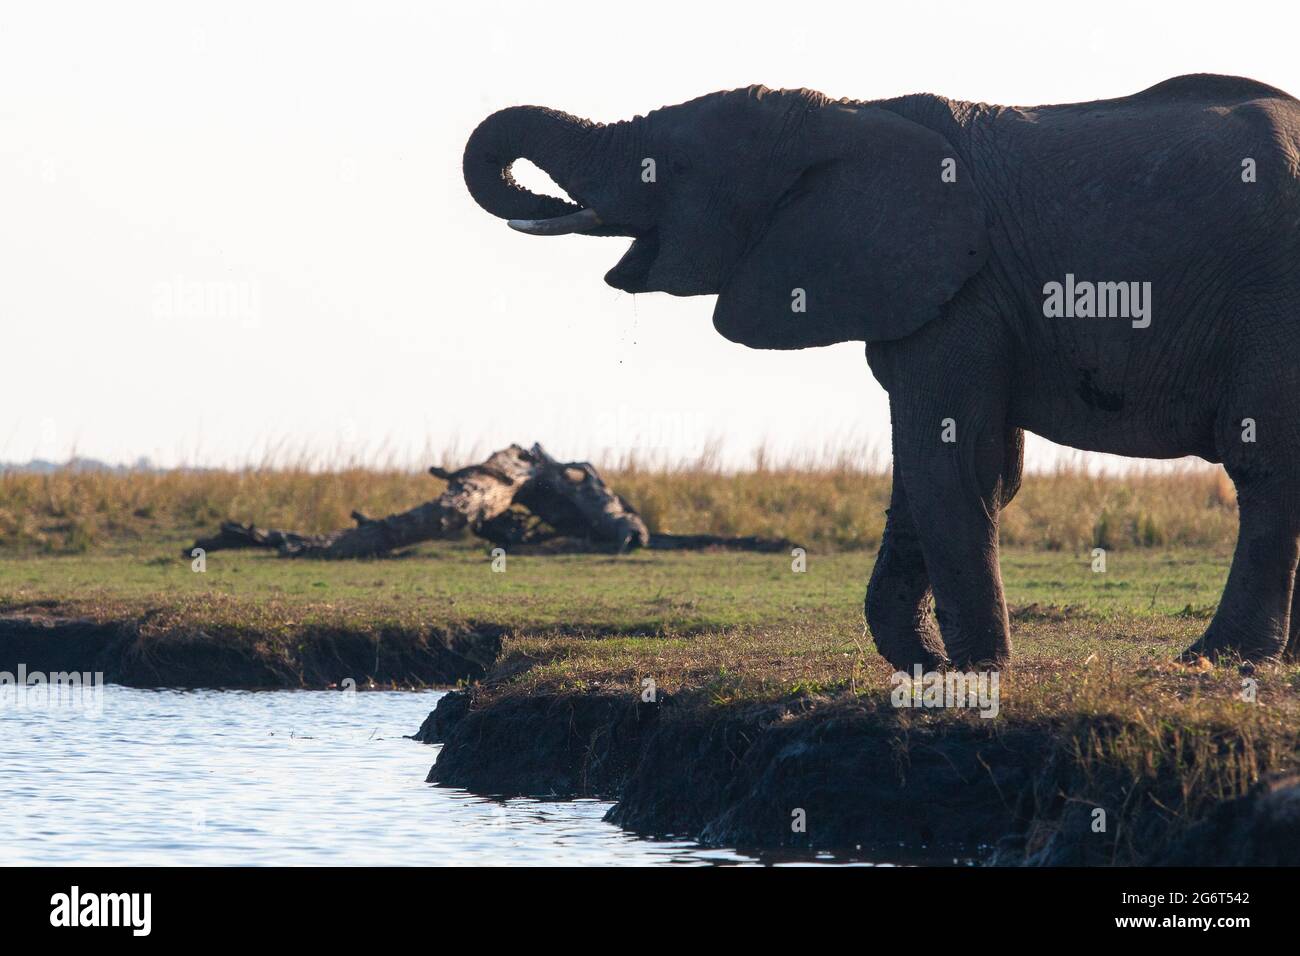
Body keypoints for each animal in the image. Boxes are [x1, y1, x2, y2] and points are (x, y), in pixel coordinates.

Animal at [465, 74, 1300, 671]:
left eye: (667, 166)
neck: (848, 118)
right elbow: (957, 469)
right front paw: (923, 663)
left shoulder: (965, 291)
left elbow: (952, 461)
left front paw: (973, 671)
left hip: (1270, 297)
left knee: (1264, 464)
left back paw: (1216, 660)